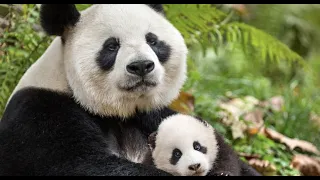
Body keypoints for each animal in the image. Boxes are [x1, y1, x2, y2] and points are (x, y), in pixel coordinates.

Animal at [0, 4, 260, 176]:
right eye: (111, 46)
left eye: (152, 40)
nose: (142, 66)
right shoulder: (40, 115)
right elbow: (83, 165)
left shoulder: (153, 114)